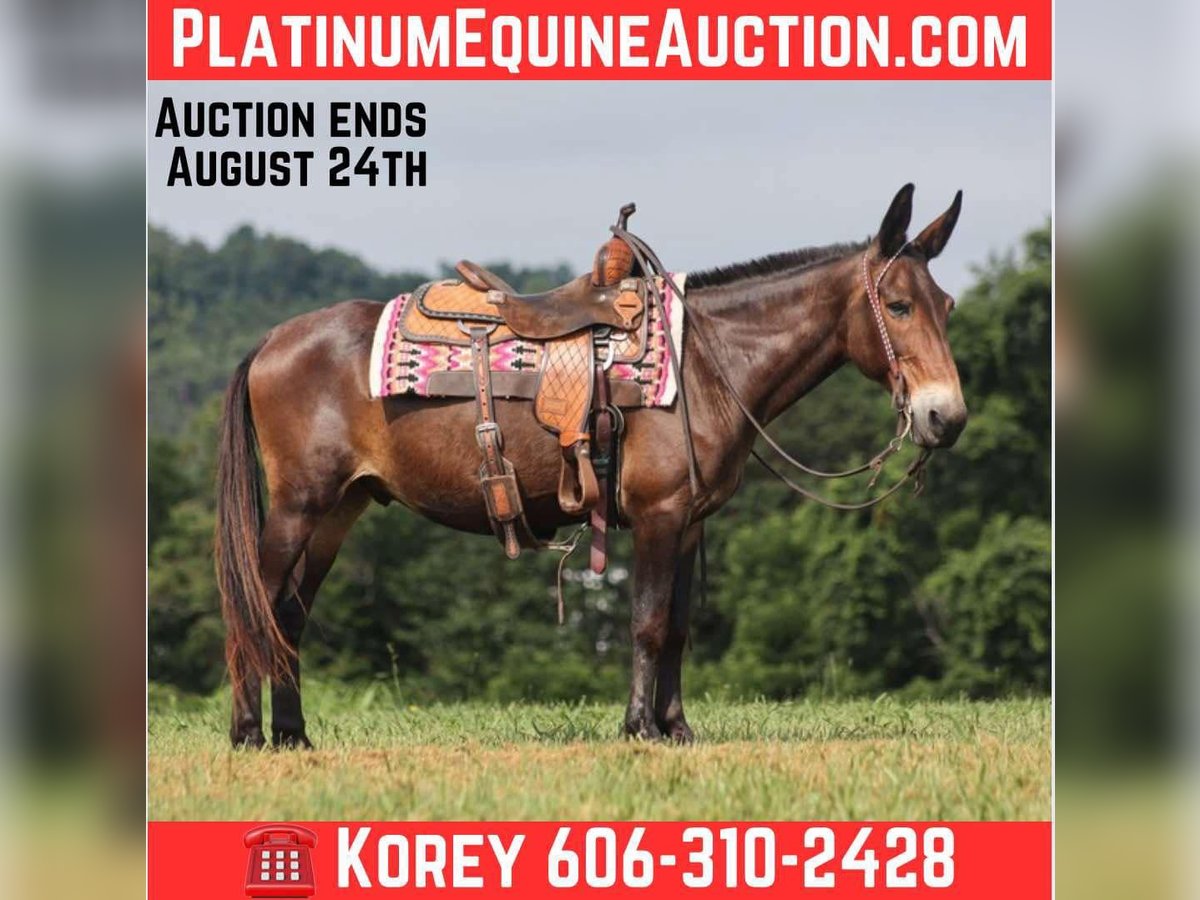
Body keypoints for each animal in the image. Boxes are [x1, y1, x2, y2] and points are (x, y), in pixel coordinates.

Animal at [215, 183, 967, 748]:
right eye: (898, 305)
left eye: (947, 305)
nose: (947, 417)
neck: (706, 362)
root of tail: (272, 340)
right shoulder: (660, 515)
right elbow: (649, 621)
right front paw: (640, 728)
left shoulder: (689, 523)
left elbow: (678, 627)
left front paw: (676, 728)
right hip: (299, 505)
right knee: (254, 605)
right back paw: (250, 734)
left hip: (339, 509)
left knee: (288, 615)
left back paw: (294, 735)